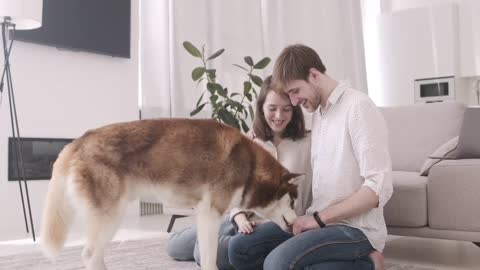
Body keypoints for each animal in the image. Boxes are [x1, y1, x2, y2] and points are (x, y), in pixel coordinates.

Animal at [42, 118, 304, 270]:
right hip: (111, 215)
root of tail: (77, 142)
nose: (298, 223)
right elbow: (210, 258)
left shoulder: (203, 215)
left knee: (95, 255)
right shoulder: (210, 214)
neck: (249, 166)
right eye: (292, 201)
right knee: (89, 255)